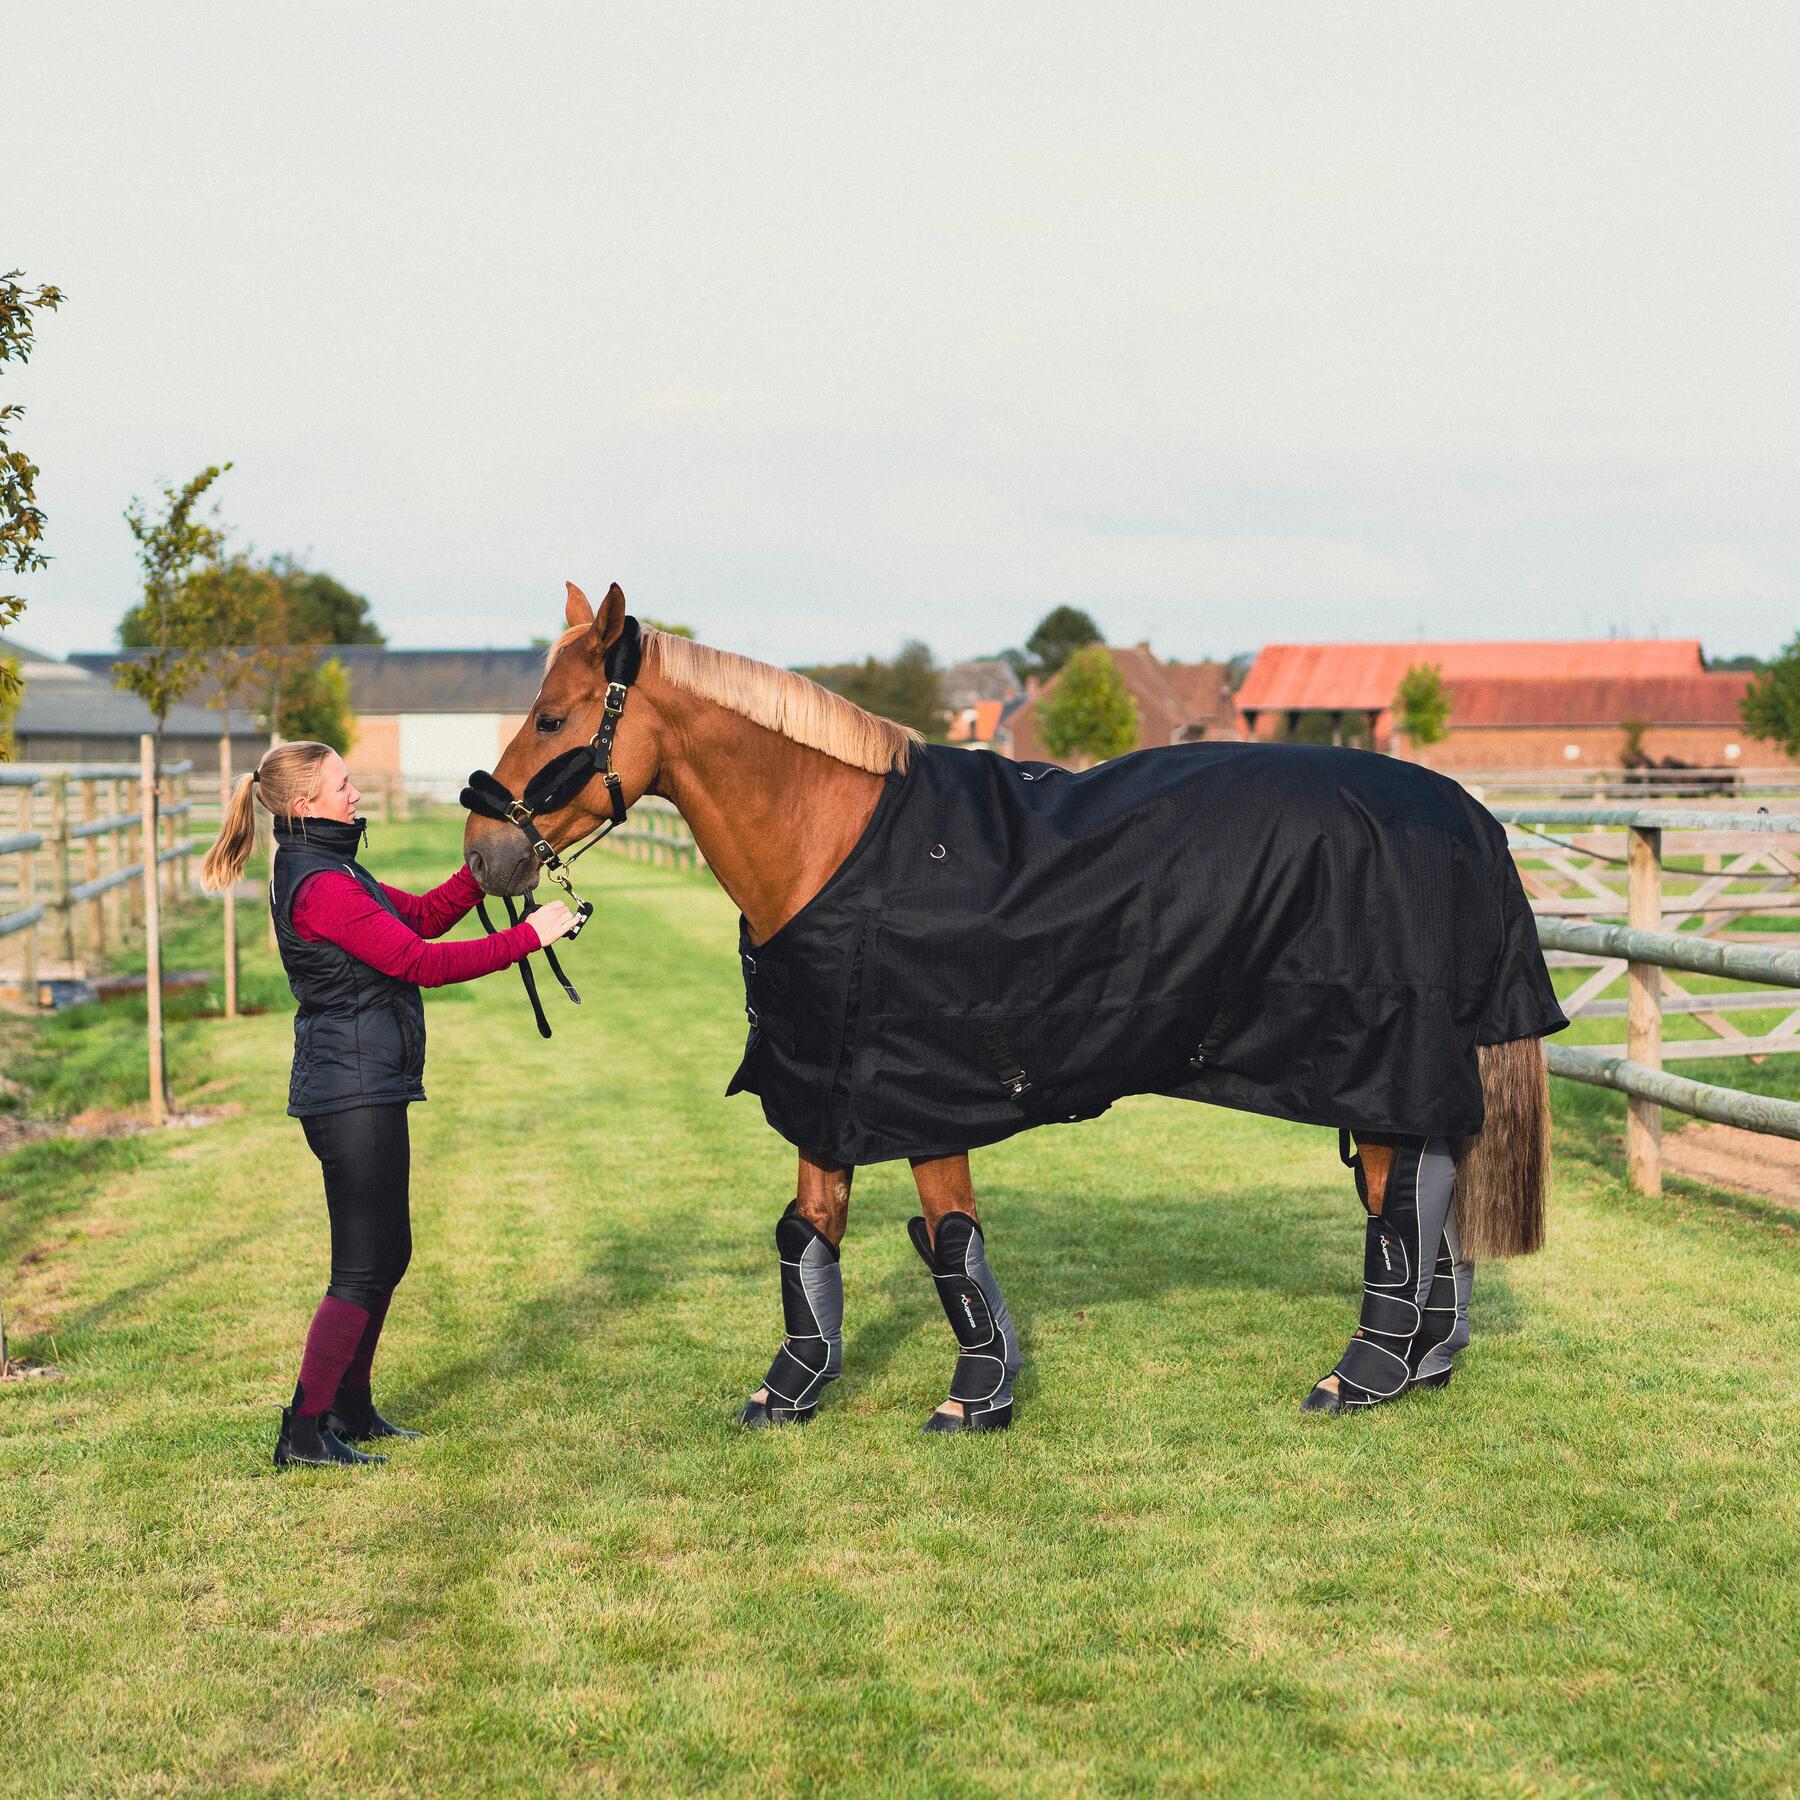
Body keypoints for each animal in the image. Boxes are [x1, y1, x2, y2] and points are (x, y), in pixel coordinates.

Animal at [460, 586, 1562, 1432]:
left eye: (551, 720)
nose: (484, 853)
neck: (838, 848)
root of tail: (1466, 812)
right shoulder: (825, 1082)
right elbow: (810, 1229)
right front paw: (792, 1389)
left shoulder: (921, 1094)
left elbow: (951, 1235)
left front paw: (978, 1395)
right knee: (1432, 1194)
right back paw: (1427, 1360)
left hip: (1377, 1062)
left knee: (1396, 1207)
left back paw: (1365, 1374)